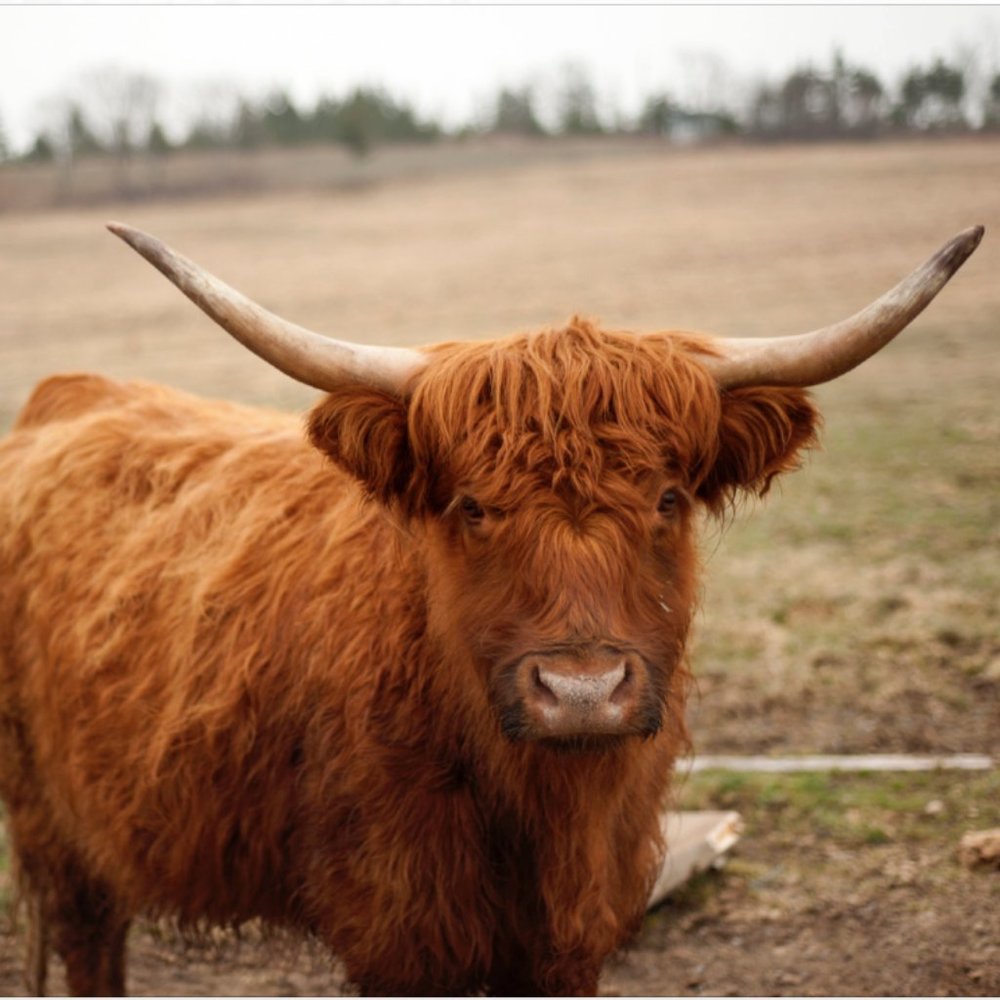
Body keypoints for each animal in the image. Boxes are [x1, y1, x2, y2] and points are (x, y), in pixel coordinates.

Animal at [0, 222, 983, 996]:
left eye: (667, 498)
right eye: (473, 507)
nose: (583, 692)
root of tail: (70, 394)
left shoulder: (572, 934)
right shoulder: (399, 932)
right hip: (53, 825)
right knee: (90, 942)